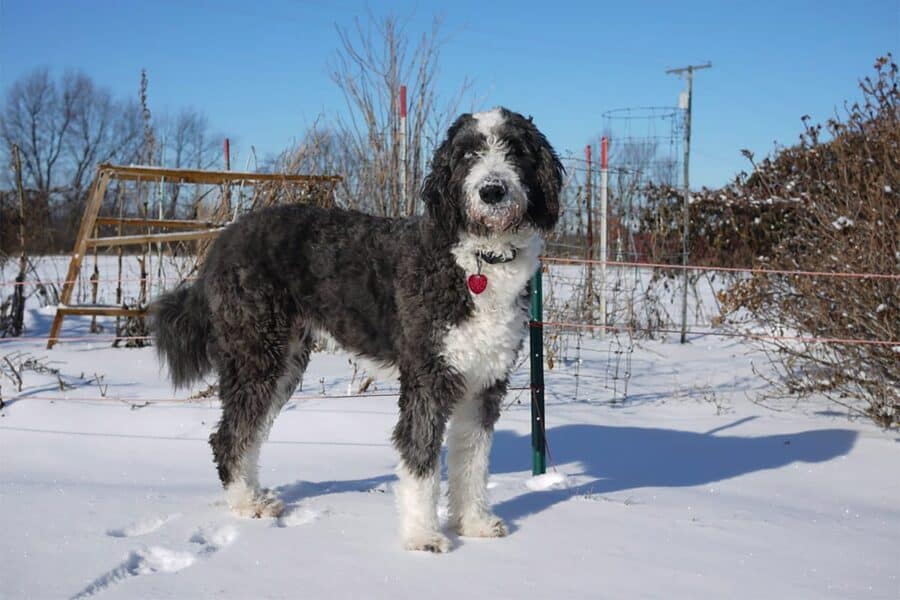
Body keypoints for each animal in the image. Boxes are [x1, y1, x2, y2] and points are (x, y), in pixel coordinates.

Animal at [155, 108, 564, 552]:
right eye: (468, 153)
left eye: (515, 149)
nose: (492, 190)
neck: (478, 262)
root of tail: (224, 238)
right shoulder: (428, 377)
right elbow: (420, 457)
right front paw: (423, 537)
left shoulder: (484, 381)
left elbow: (472, 459)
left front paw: (473, 524)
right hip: (257, 353)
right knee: (230, 435)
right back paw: (246, 504)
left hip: (284, 362)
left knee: (248, 432)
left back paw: (254, 497)